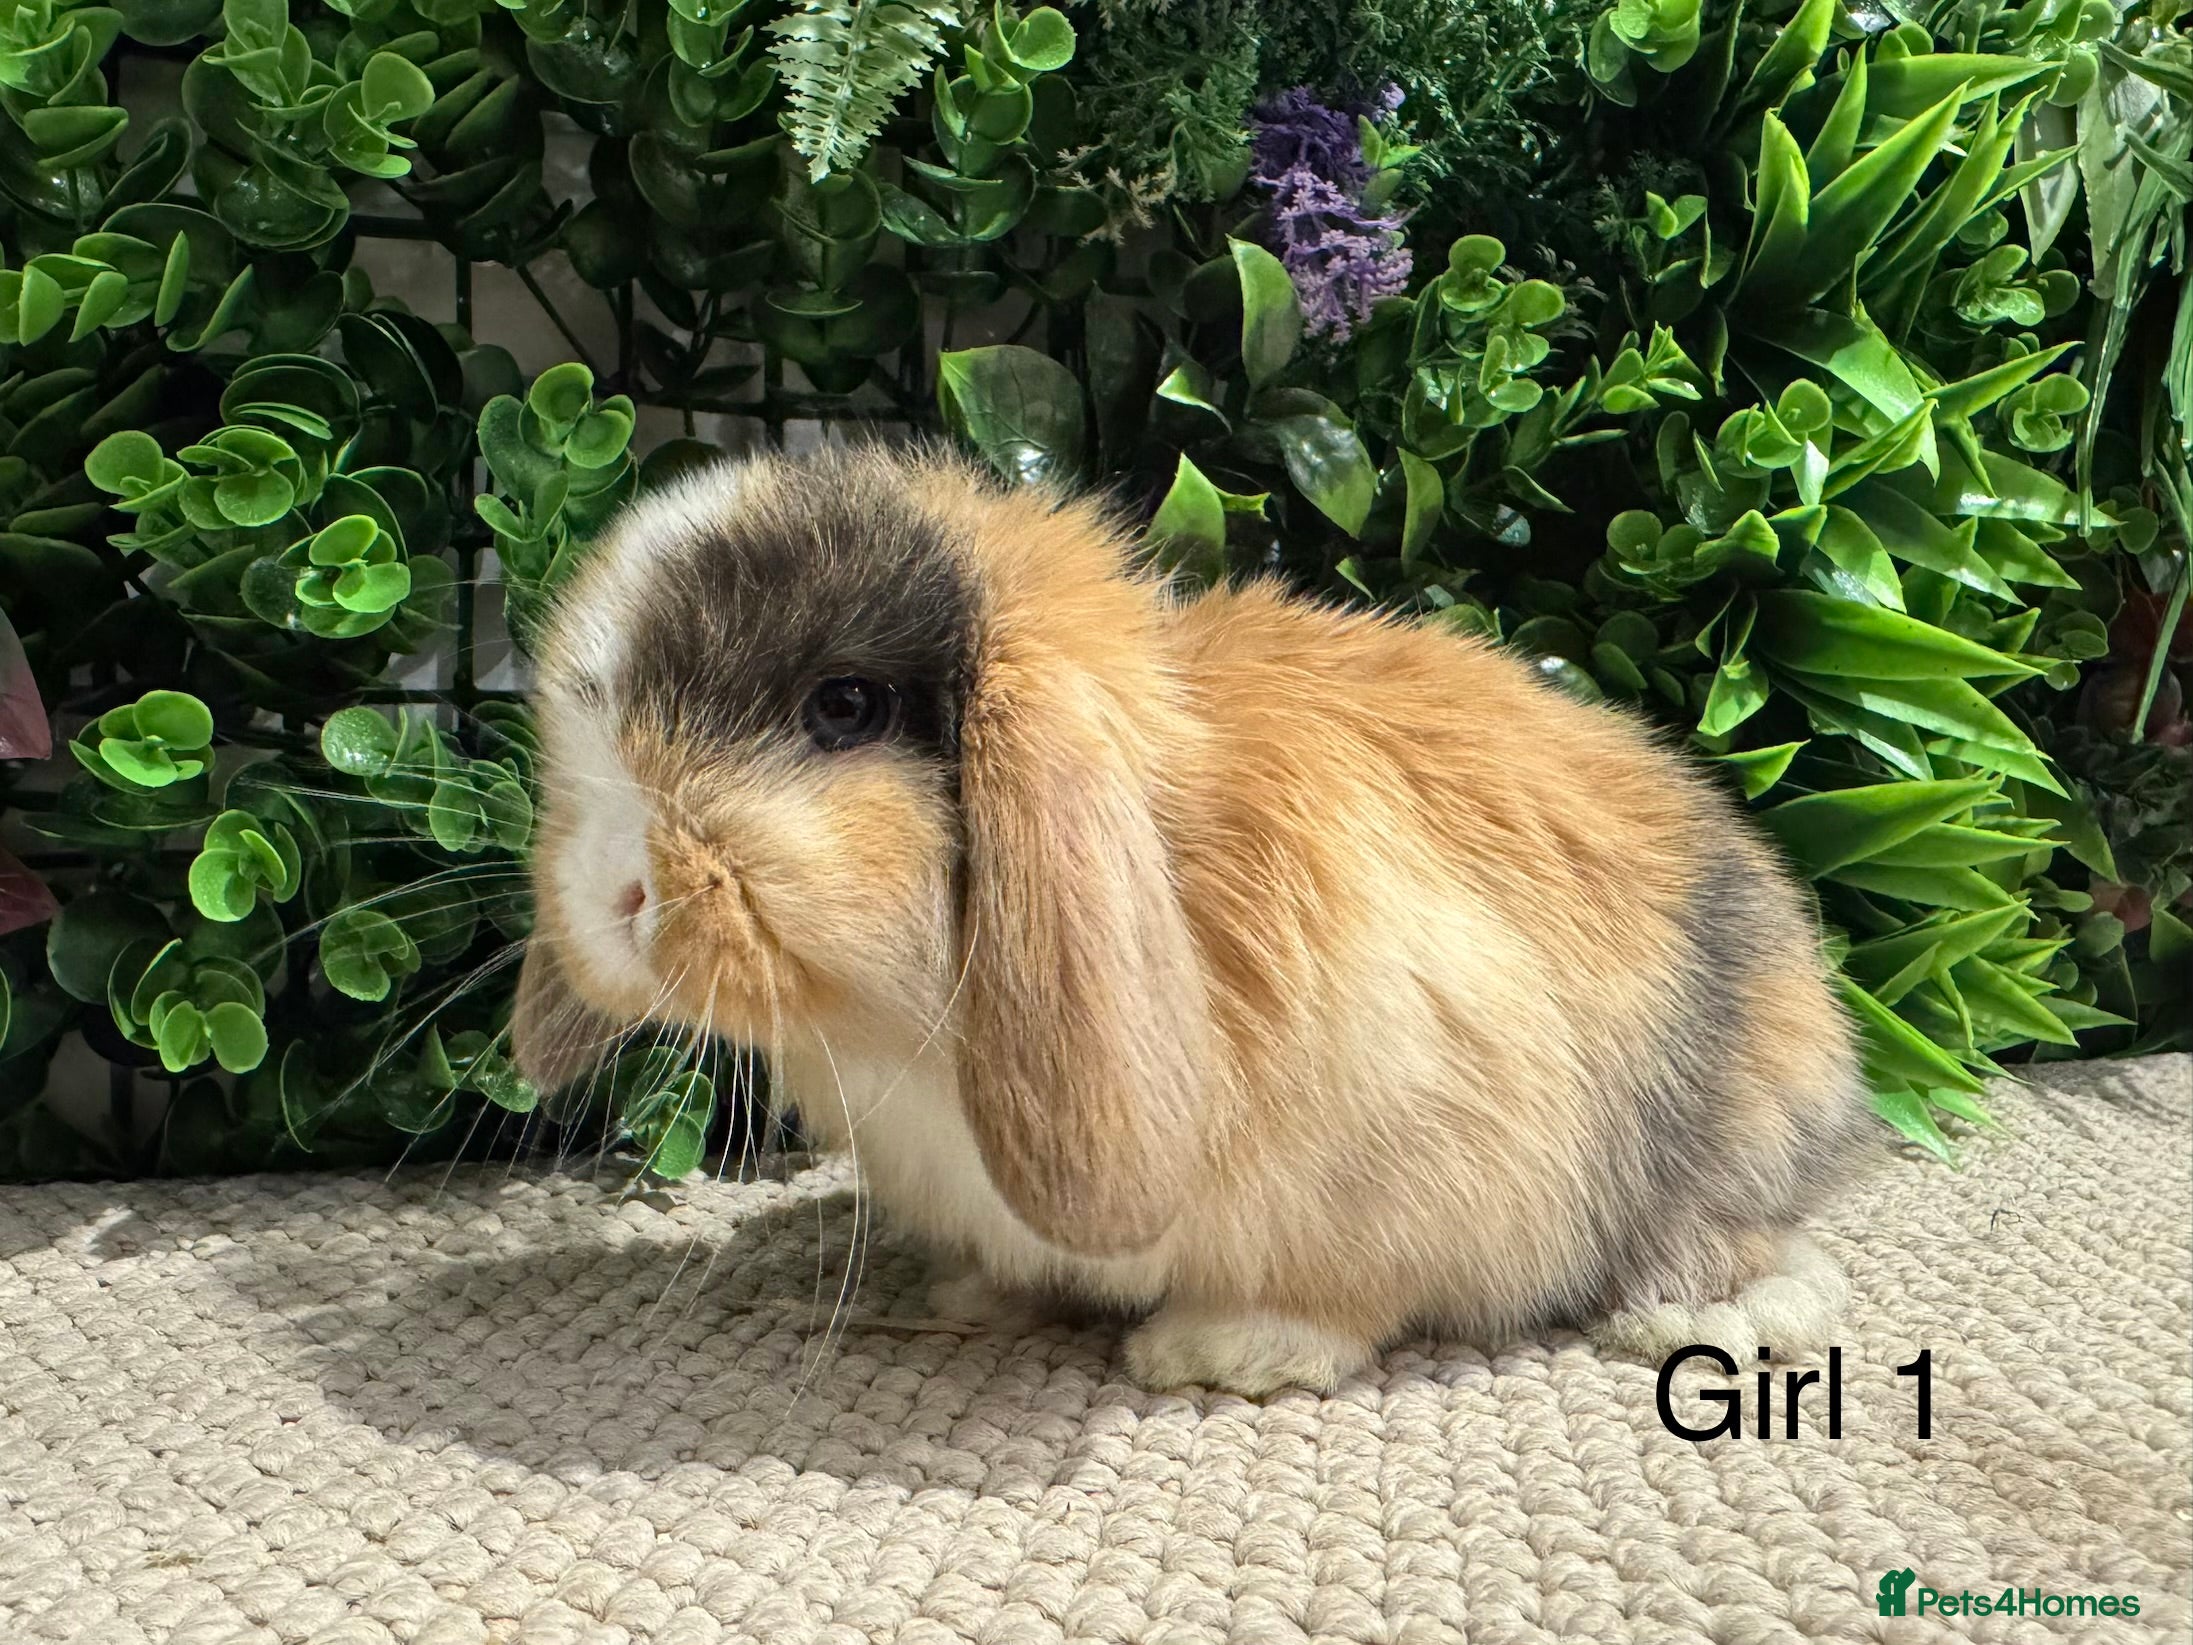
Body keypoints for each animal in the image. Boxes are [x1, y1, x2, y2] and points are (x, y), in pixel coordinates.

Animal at [509, 441, 1876, 1397]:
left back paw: (1710, 1314)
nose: (612, 893)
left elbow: (1341, 1297)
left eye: (842, 705)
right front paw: (965, 1291)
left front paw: (1224, 1353)